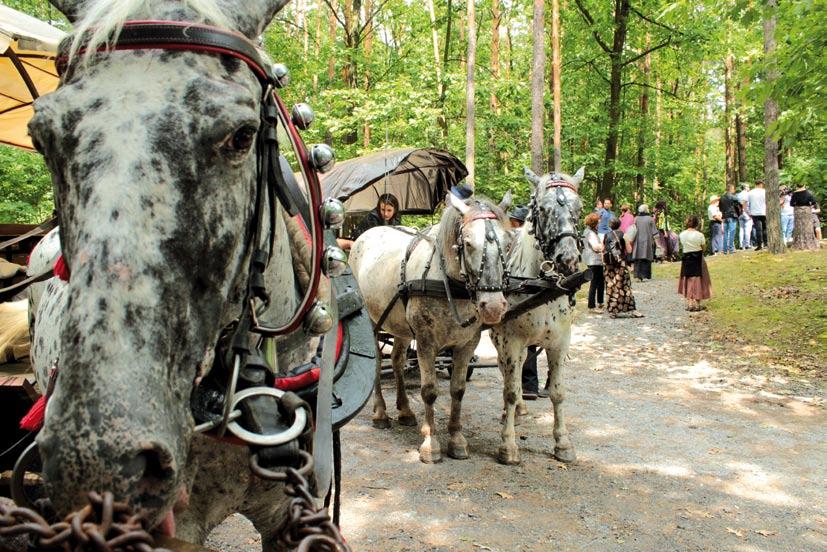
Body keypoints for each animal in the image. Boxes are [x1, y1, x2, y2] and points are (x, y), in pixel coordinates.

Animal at [348, 194, 512, 462]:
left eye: (508, 243)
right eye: (468, 244)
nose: (494, 306)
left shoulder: (467, 343)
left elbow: (458, 390)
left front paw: (456, 439)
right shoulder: (426, 341)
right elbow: (429, 391)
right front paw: (431, 443)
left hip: (400, 326)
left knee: (397, 360)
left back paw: (405, 411)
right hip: (373, 321)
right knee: (377, 364)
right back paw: (380, 413)